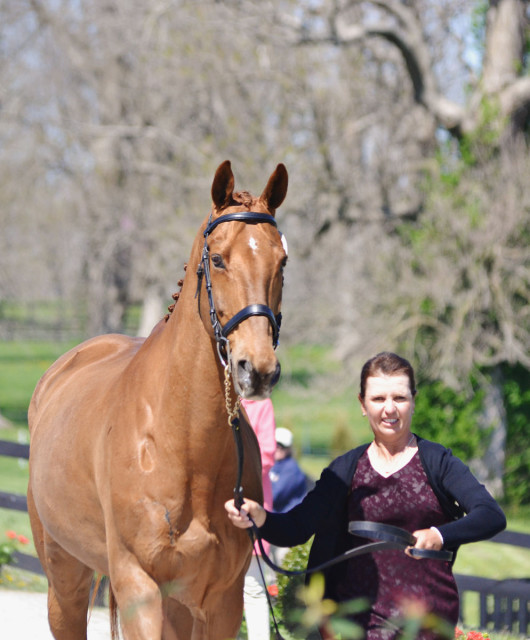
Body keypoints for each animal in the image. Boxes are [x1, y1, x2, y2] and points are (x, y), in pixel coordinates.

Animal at [26, 160, 286, 640]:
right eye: (218, 259)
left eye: (282, 260)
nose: (257, 369)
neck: (179, 444)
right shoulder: (139, 586)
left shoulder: (221, 602)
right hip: (65, 575)